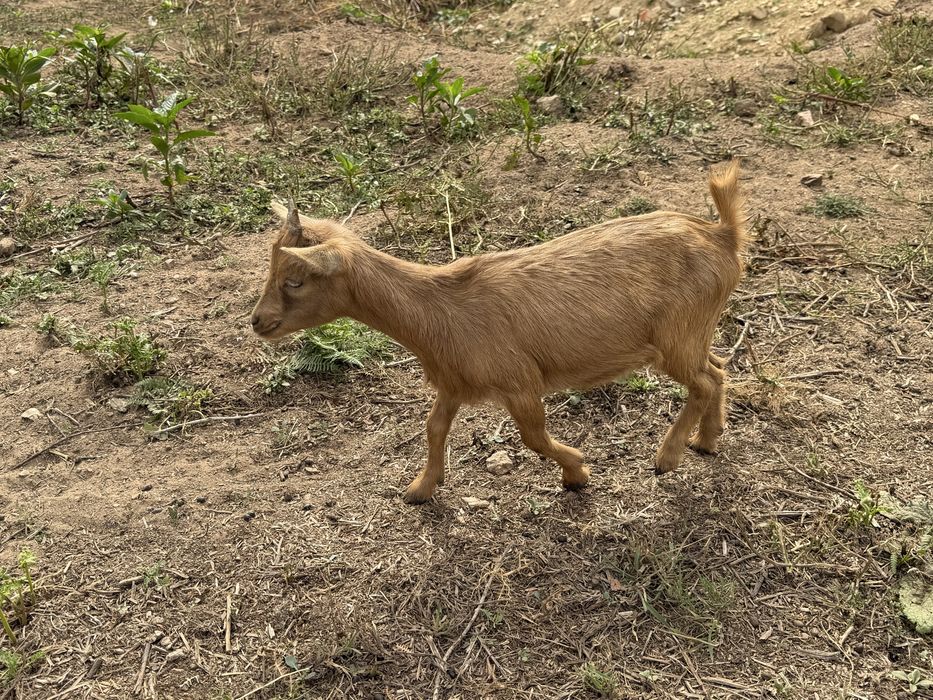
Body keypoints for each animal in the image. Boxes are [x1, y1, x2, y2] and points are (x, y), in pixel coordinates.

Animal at [251, 160, 747, 504]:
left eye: (295, 280)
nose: (257, 321)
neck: (438, 308)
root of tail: (723, 235)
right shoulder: (454, 383)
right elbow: (433, 427)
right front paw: (421, 488)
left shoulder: (519, 383)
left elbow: (533, 437)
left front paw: (577, 473)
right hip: (693, 332)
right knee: (718, 369)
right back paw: (706, 440)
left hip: (675, 337)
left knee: (703, 381)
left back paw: (667, 457)